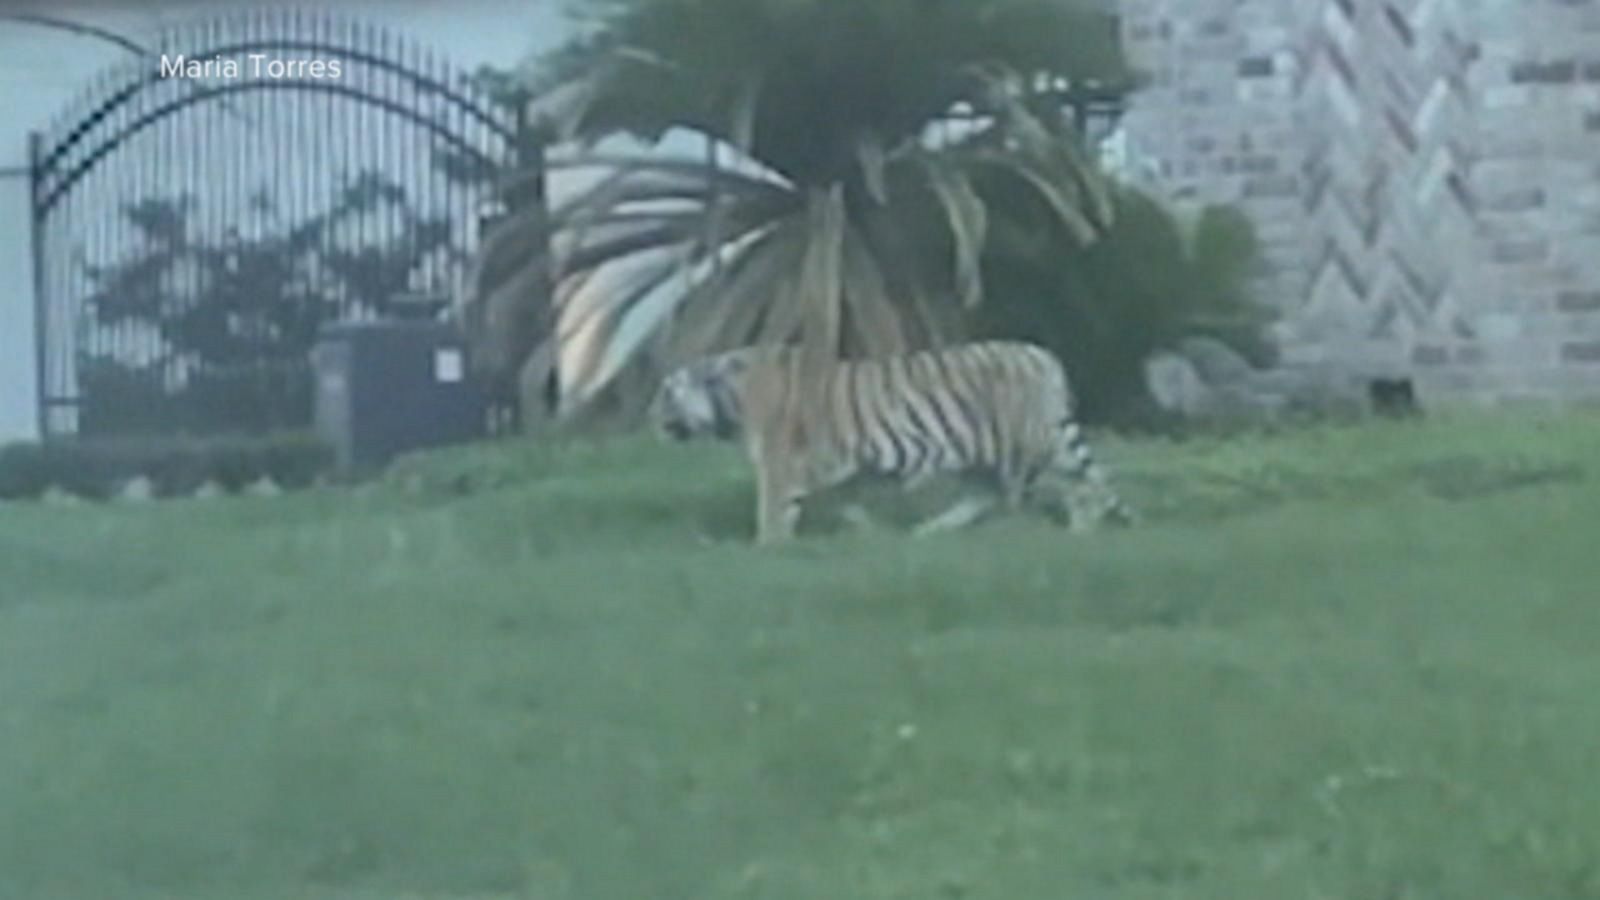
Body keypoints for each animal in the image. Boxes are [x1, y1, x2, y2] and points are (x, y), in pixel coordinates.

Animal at [648, 339, 1135, 544]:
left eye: (667, 392)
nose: (651, 416)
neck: (729, 397)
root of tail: (1045, 357)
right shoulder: (839, 467)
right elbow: (846, 504)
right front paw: (869, 534)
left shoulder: (778, 464)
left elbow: (771, 511)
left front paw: (767, 548)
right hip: (988, 453)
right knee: (988, 496)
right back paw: (926, 533)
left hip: (1028, 445)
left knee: (1077, 487)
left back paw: (1082, 529)